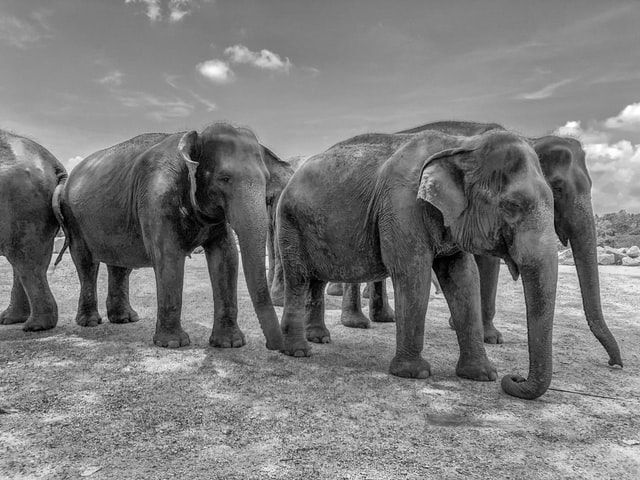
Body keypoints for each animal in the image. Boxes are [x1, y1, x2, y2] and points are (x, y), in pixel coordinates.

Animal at [0, 130, 67, 331]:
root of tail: (54, 164)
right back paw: (10, 320)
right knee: (28, 261)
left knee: (26, 262)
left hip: (23, 206)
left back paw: (34, 326)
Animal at [54, 123, 282, 350]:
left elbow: (226, 257)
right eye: (224, 179)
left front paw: (230, 343)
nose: (273, 346)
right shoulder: (157, 197)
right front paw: (173, 343)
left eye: (266, 180)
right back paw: (90, 322)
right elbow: (169, 256)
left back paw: (125, 319)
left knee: (120, 264)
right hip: (73, 218)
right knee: (86, 262)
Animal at [277, 129, 559, 400]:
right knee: (298, 278)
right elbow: (413, 274)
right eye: (512, 206)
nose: (515, 378)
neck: (462, 144)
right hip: (290, 223)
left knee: (316, 279)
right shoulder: (402, 207)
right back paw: (299, 351)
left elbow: (464, 279)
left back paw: (319, 338)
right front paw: (414, 373)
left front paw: (483, 375)